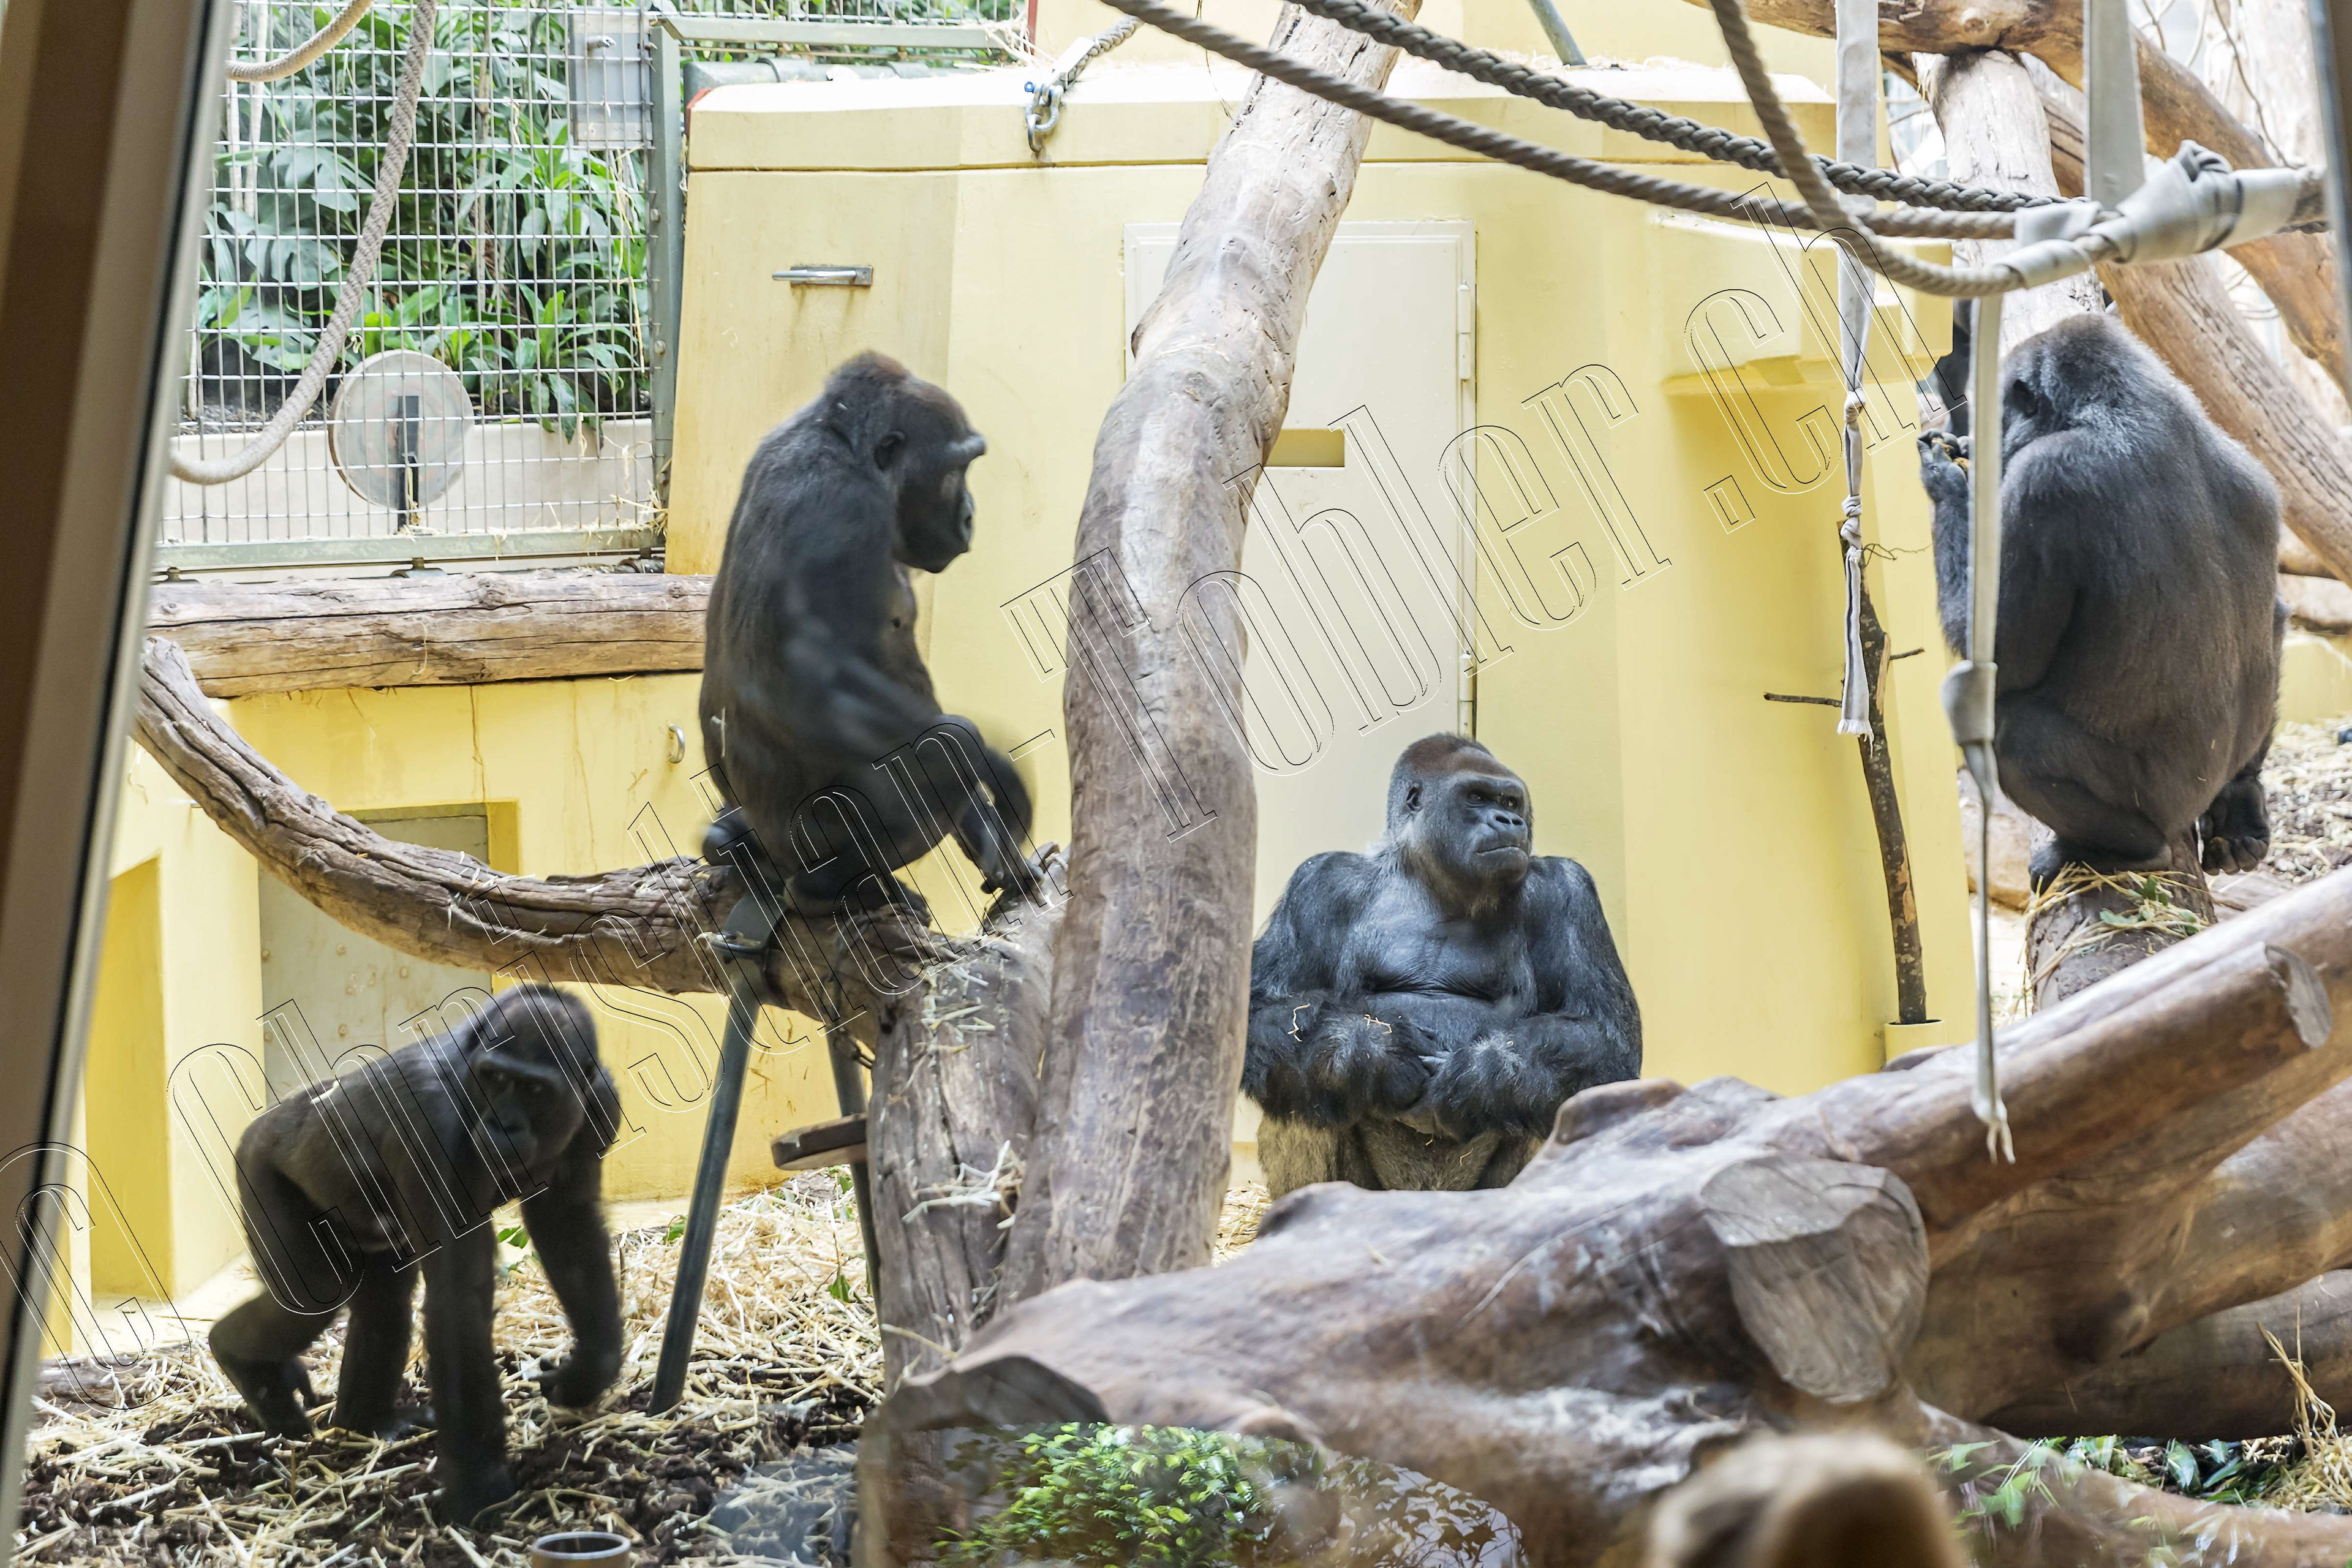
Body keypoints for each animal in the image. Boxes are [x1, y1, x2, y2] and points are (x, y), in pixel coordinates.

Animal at [209, 985, 622, 1524]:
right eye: (494, 1078)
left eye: (535, 1091)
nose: (502, 1125)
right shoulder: (436, 1129)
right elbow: (458, 1301)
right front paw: (479, 1488)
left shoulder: (600, 1102)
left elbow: (568, 1228)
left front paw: (589, 1371)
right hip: (257, 1165)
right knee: (314, 1293)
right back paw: (241, 1360)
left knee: (383, 1305)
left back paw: (366, 1422)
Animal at [698, 352, 1038, 916]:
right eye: (956, 469)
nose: (970, 515)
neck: (846, 448)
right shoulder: (841, 512)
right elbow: (806, 683)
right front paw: (987, 760)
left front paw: (997, 845)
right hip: (808, 844)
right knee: (933, 765)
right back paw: (836, 887)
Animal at [1242, 735, 1641, 1200]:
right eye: (1477, 797)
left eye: (1511, 801)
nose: (1509, 821)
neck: (1431, 878)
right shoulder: (1320, 882)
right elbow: (1263, 1015)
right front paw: (1370, 1051)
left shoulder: (1568, 889)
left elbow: (1602, 1034)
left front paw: (1475, 1077)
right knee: (1300, 1080)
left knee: (1552, 1089)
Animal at [1916, 312, 2283, 884]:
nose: (1985, 444)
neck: (2125, 401)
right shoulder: (2254, 473)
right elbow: (2276, 613)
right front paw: (2243, 796)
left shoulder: (2043, 480)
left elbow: (2001, 656)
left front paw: (1949, 481)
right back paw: (2237, 796)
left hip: (2162, 804)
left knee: (2012, 733)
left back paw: (2128, 849)